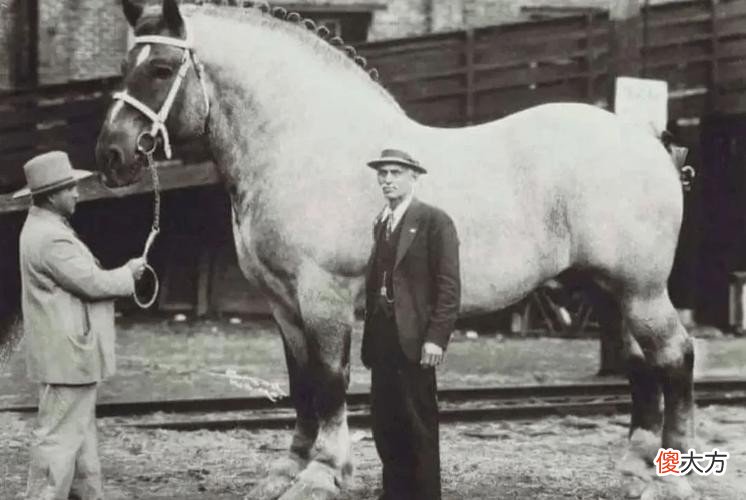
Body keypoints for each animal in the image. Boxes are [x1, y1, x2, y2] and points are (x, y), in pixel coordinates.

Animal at [93, 1, 694, 498]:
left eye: (161, 69)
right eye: (125, 65)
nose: (112, 155)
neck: (306, 145)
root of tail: (648, 140)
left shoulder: (324, 295)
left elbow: (330, 379)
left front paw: (323, 474)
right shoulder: (283, 303)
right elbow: (300, 382)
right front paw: (289, 469)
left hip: (641, 290)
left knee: (675, 356)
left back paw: (673, 475)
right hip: (610, 290)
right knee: (640, 364)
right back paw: (635, 467)